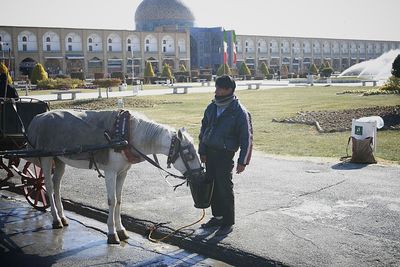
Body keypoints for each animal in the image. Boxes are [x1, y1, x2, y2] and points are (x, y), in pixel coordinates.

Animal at [27, 110, 203, 244]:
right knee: (49, 187)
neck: (127, 134)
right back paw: (56, 219)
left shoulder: (122, 172)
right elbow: (111, 200)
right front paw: (112, 233)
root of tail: (39, 117)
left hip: (59, 159)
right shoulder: (110, 172)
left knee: (57, 185)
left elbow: (119, 200)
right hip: (46, 157)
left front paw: (121, 230)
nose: (201, 174)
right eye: (189, 155)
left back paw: (62, 217)